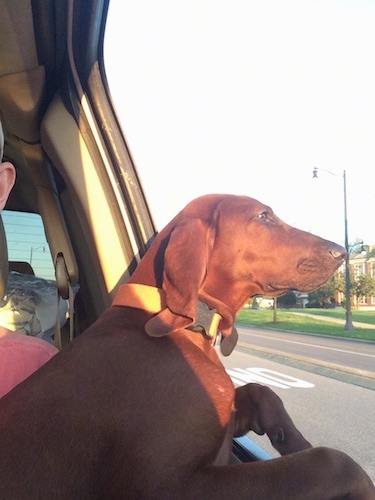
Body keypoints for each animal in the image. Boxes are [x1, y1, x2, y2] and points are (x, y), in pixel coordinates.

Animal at [0, 194, 375, 496]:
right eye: (264, 216)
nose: (342, 252)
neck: (184, 323)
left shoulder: (221, 425)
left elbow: (260, 390)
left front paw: (293, 438)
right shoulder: (173, 486)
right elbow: (333, 460)